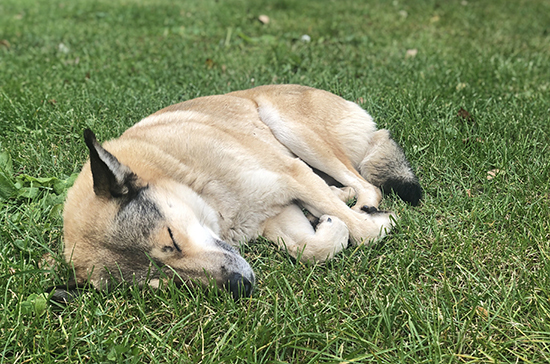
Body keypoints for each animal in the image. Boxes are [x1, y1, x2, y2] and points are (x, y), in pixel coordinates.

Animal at [61, 84, 422, 298]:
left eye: (172, 240)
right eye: (167, 281)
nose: (240, 286)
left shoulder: (290, 176)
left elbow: (363, 232)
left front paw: (377, 224)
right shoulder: (276, 214)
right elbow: (310, 249)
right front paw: (329, 228)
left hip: (292, 131)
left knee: (367, 186)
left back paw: (360, 205)